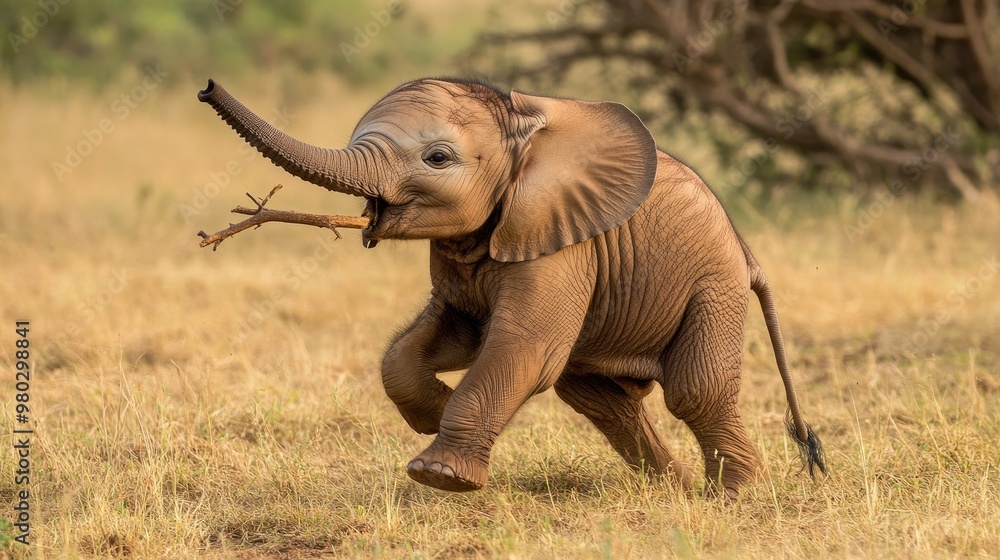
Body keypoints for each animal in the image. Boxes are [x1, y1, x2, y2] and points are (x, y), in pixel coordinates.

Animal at [198, 77, 826, 498]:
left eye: (437, 158)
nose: (206, 88)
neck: (521, 129)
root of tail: (746, 252)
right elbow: (430, 342)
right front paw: (433, 415)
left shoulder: (562, 242)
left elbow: (522, 346)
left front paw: (439, 476)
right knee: (600, 400)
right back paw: (675, 490)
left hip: (712, 284)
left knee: (695, 391)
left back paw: (734, 496)